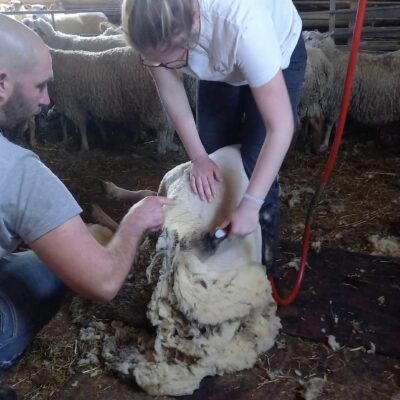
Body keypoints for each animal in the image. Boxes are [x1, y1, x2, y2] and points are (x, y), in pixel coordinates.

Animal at [48, 46, 176, 154]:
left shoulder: (71, 101)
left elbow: (81, 124)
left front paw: (84, 146)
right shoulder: (84, 103)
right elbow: (89, 121)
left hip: (152, 102)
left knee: (164, 125)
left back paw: (161, 149)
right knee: (171, 123)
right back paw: (170, 146)